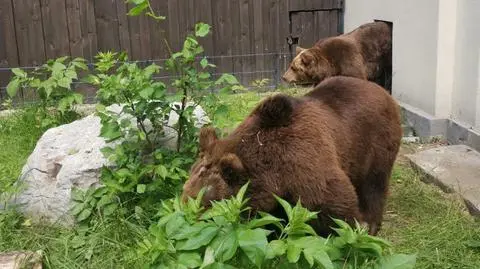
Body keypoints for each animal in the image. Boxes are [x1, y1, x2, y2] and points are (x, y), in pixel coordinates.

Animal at [182, 75, 404, 234]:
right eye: (185, 193)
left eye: (202, 201)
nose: (185, 218)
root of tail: (382, 91)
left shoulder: (305, 164)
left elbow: (335, 206)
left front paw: (349, 232)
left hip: (374, 143)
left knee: (373, 184)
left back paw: (371, 225)